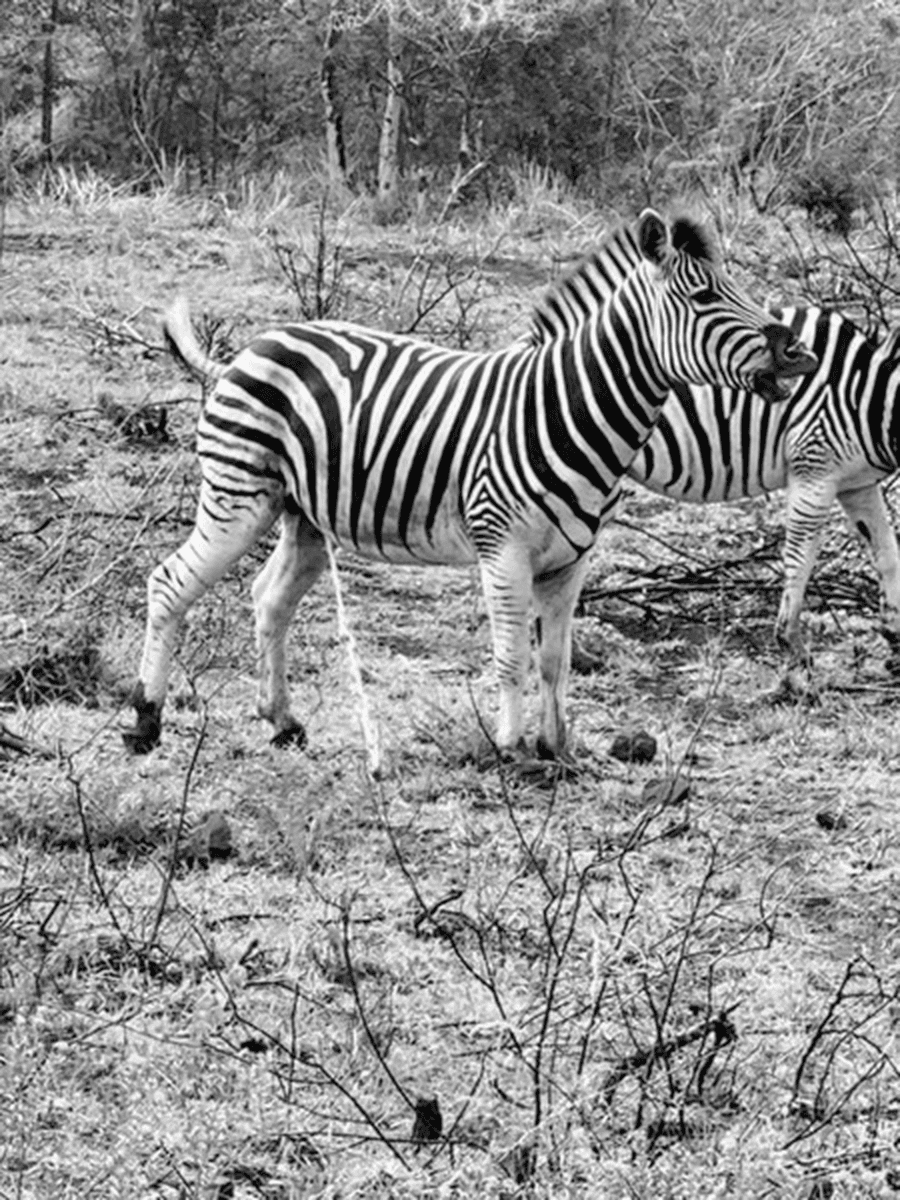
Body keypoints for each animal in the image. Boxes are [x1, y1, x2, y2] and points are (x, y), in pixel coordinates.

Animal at [123, 210, 816, 761]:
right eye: (702, 297)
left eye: (735, 288)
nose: (799, 353)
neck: (569, 408)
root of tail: (246, 350)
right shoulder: (502, 548)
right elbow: (512, 655)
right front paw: (509, 749)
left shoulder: (572, 561)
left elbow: (555, 660)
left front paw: (557, 749)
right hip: (237, 497)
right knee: (169, 582)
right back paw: (145, 721)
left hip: (305, 516)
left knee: (270, 599)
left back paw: (282, 721)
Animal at [618, 305, 900, 677]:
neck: (866, 397)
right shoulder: (813, 468)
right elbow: (799, 559)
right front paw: (792, 647)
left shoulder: (857, 484)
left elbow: (887, 553)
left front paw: (895, 639)